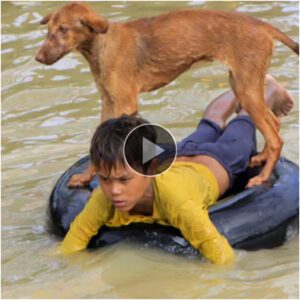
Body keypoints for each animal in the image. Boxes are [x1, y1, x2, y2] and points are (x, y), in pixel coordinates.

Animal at [35, 2, 298, 188]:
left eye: (63, 30)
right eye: (48, 30)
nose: (38, 57)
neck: (101, 45)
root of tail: (264, 26)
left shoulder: (125, 103)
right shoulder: (108, 102)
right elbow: (95, 143)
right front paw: (86, 177)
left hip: (246, 88)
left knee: (275, 137)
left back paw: (262, 177)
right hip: (242, 86)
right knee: (274, 124)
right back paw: (261, 158)